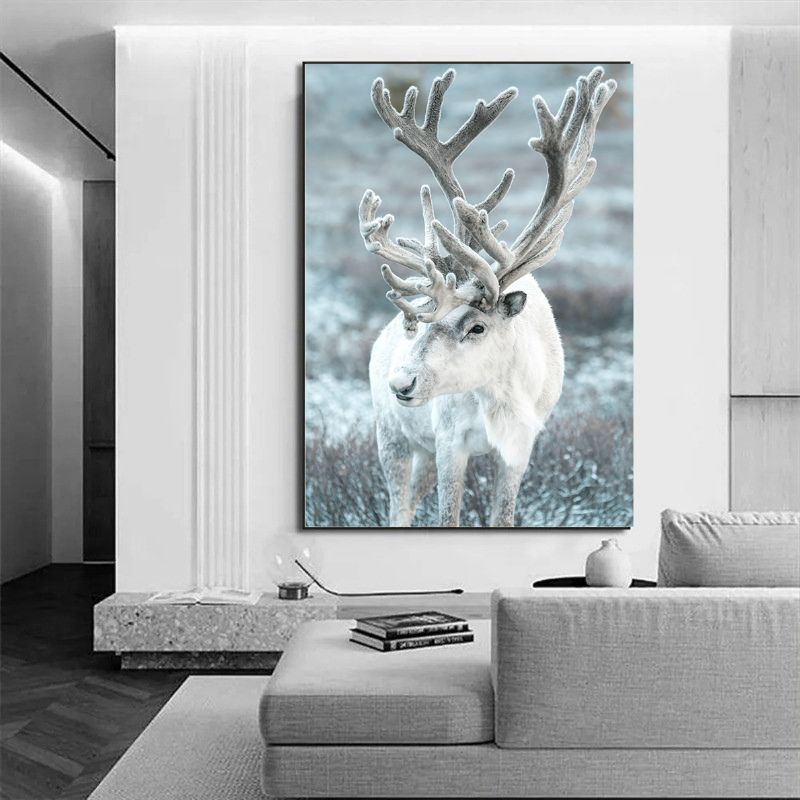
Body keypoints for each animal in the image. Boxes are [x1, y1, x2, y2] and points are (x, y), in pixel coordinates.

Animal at [359, 66, 616, 527]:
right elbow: (448, 517)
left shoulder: (519, 449)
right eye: (425, 321)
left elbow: (503, 516)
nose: (401, 382)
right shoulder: (448, 443)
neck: (501, 398)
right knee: (398, 507)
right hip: (392, 436)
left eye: (477, 326)